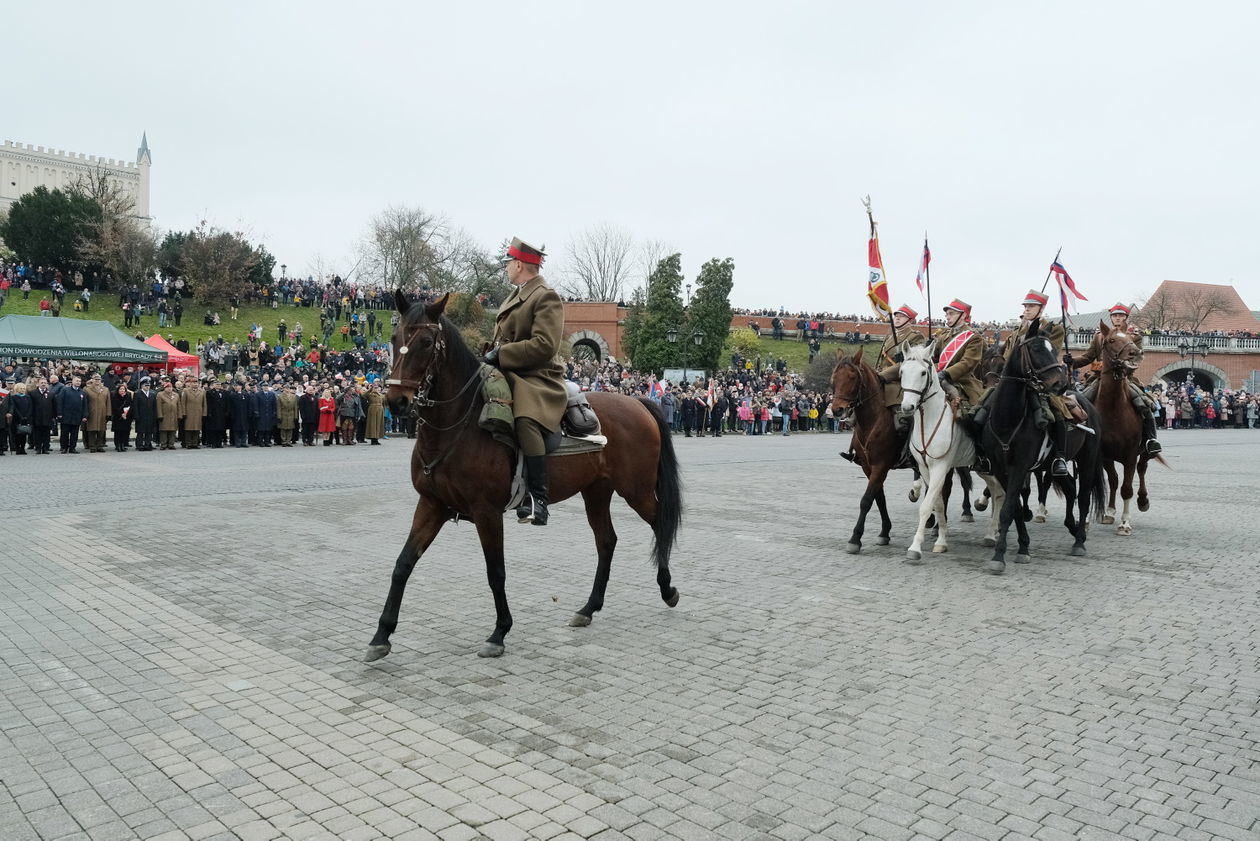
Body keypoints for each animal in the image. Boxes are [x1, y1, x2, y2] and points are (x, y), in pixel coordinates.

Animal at [365, 292, 680, 660]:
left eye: (427, 342)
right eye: (394, 338)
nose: (396, 402)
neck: (459, 425)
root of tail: (637, 402)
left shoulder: (486, 512)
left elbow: (495, 572)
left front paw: (499, 632)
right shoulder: (431, 505)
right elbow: (403, 564)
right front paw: (381, 634)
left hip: (637, 490)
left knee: (660, 524)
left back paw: (668, 589)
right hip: (596, 492)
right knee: (607, 541)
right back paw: (588, 608)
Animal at [897, 345, 1002, 562]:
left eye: (923, 372)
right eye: (902, 371)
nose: (907, 407)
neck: (929, 420)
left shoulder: (940, 467)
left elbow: (927, 505)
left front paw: (915, 547)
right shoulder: (925, 468)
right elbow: (937, 504)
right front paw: (941, 541)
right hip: (984, 469)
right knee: (997, 493)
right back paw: (991, 533)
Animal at [982, 319, 1103, 574]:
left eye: (1053, 349)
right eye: (1036, 349)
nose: (1060, 384)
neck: (1009, 418)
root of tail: (1087, 401)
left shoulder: (1019, 467)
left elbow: (1008, 509)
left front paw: (999, 555)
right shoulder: (1001, 469)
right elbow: (1016, 508)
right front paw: (1023, 547)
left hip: (1087, 460)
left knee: (1083, 497)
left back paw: (1079, 541)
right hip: (1054, 464)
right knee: (1070, 488)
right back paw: (1072, 527)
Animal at [1093, 320, 1159, 532]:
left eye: (1132, 338)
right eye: (1111, 340)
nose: (1136, 353)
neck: (1114, 409)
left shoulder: (1130, 455)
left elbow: (1127, 488)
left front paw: (1125, 523)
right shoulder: (1104, 455)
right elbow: (1114, 482)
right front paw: (1110, 512)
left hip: (1145, 452)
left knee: (1142, 469)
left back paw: (1143, 500)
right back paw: (1110, 512)